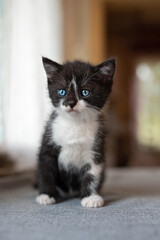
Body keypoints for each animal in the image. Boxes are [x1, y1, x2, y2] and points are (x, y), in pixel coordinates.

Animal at [35, 57, 115, 207]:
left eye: (85, 92)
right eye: (62, 92)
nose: (71, 103)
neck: (74, 123)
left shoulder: (95, 147)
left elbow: (92, 173)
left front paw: (90, 197)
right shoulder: (48, 143)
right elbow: (46, 170)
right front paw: (46, 195)